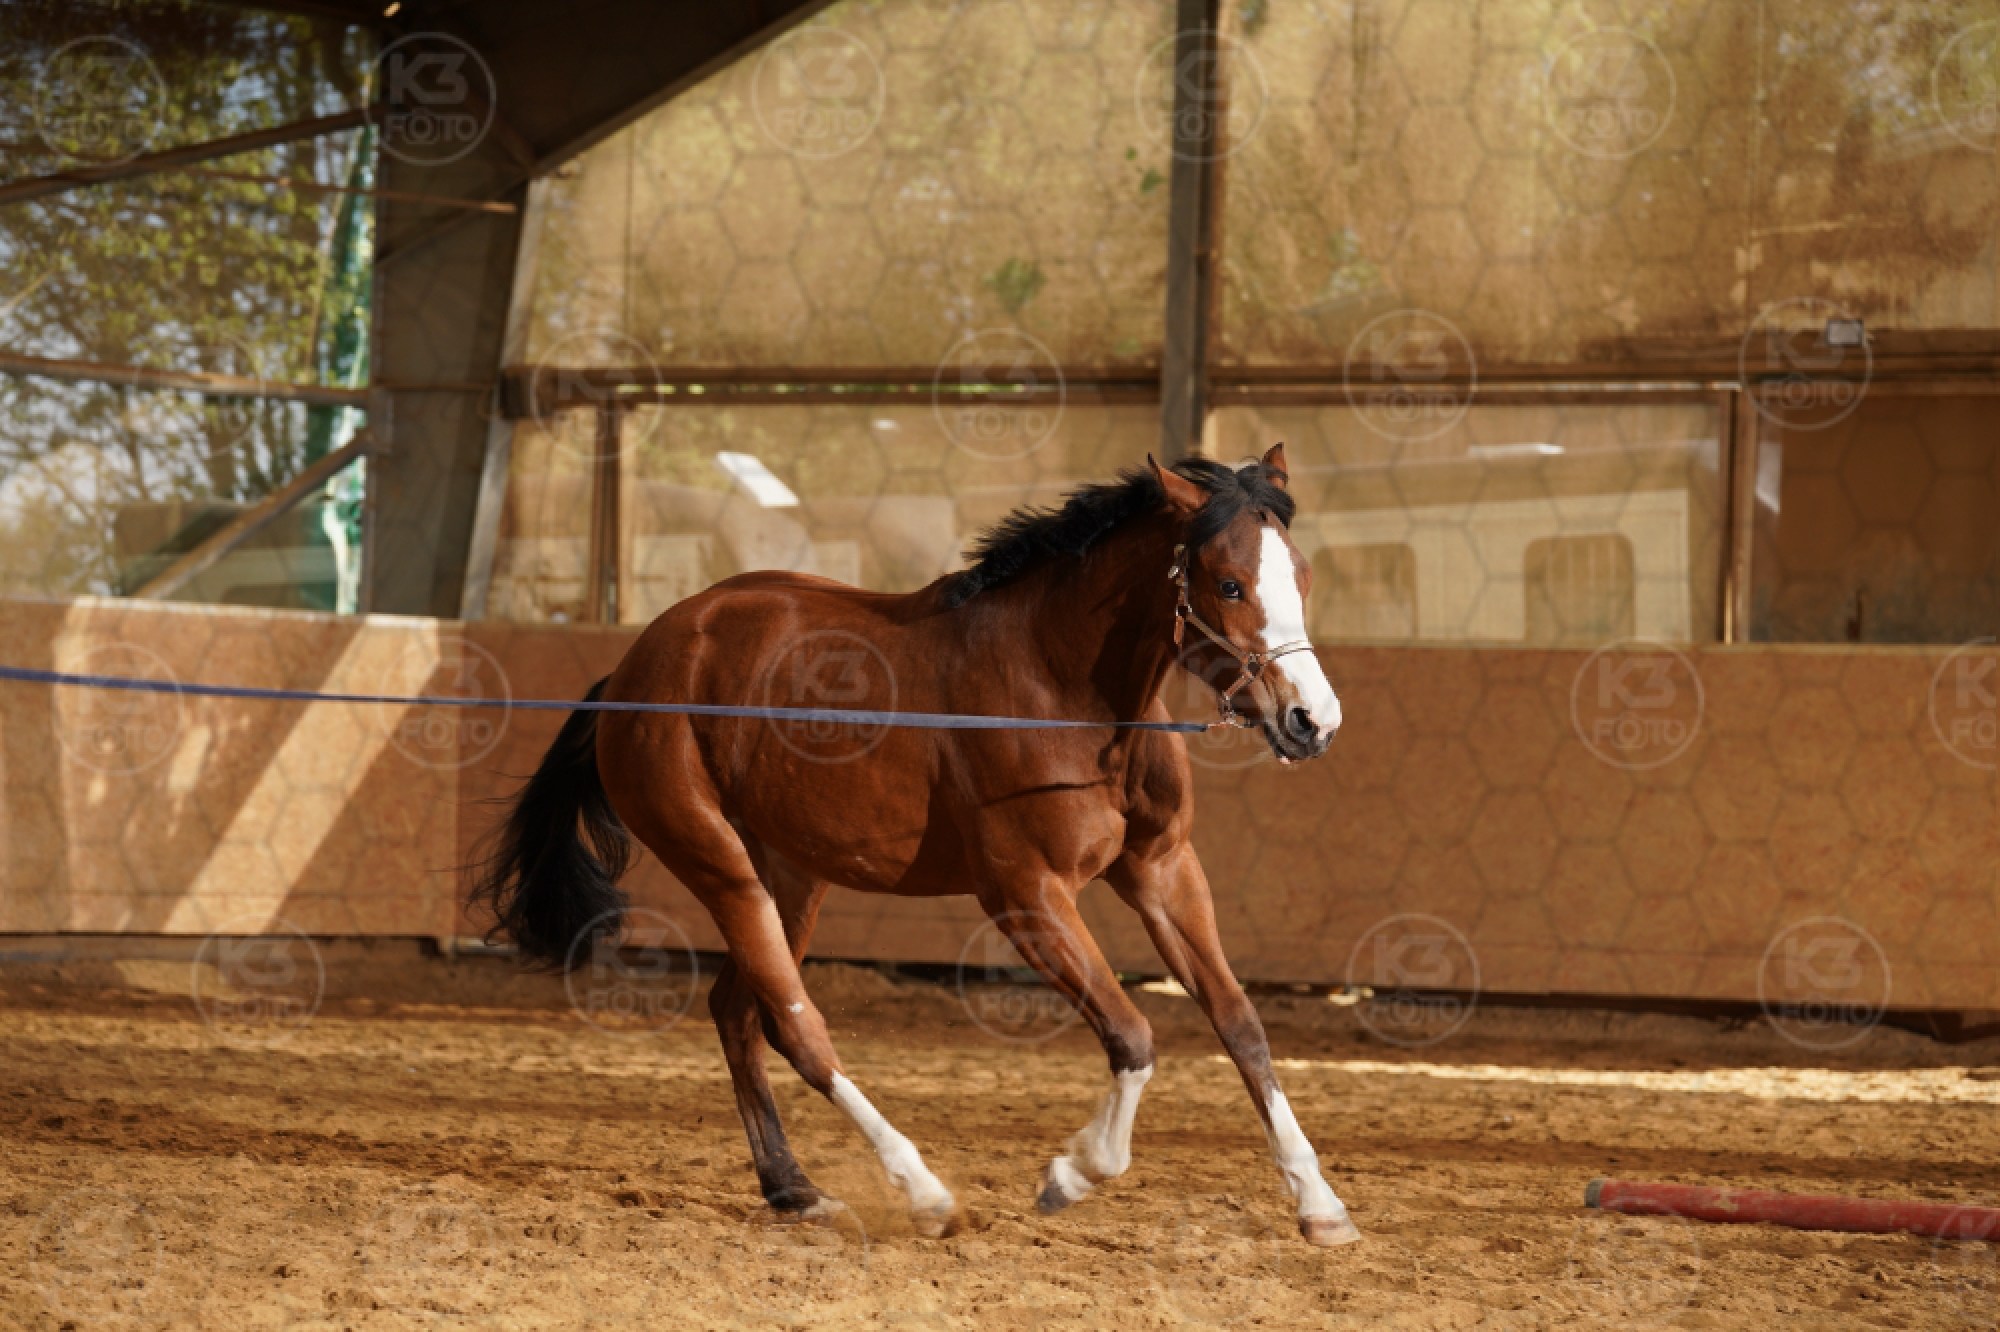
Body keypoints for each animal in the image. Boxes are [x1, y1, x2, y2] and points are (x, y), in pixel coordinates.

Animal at [468, 444, 1360, 1247]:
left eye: (1303, 577)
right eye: (1229, 582)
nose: (1313, 722)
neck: (1063, 690)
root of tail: (634, 668)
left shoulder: (1163, 871)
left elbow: (1240, 1024)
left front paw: (1320, 1207)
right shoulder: (1025, 895)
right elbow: (1132, 1036)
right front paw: (1070, 1174)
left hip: (791, 877)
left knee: (739, 1012)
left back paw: (795, 1190)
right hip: (720, 865)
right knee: (795, 1025)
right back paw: (925, 1194)